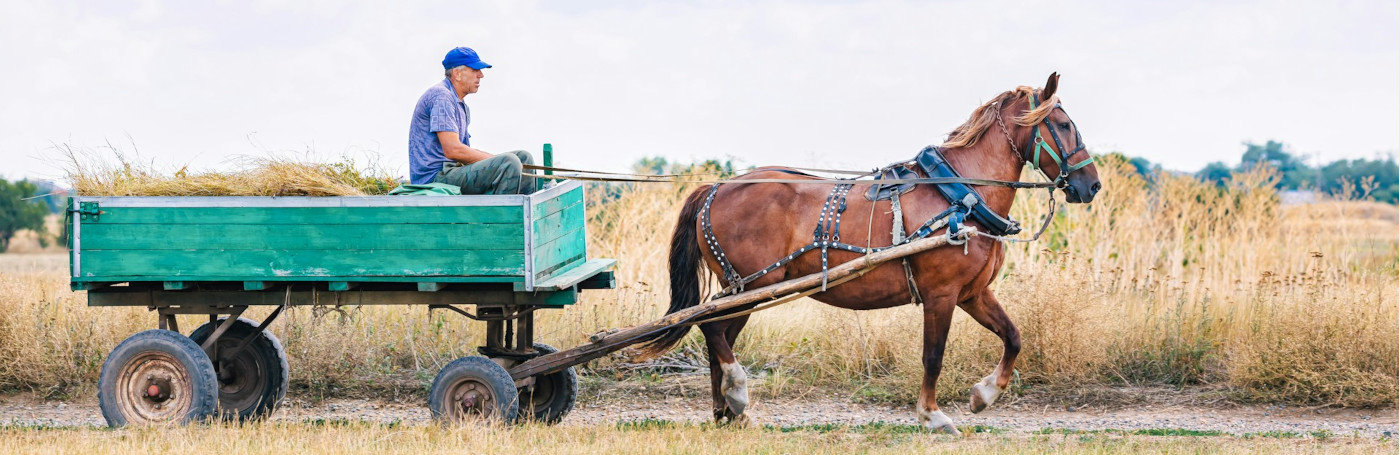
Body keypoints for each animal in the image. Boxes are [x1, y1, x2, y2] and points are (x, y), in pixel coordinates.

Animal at [635, 72, 1103, 434]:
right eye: (1062, 125)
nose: (1092, 185)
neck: (961, 193)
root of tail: (715, 187)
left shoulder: (972, 293)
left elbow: (1013, 337)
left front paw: (982, 396)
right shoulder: (941, 295)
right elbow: (933, 355)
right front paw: (932, 416)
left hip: (746, 288)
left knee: (718, 336)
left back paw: (728, 411)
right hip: (752, 284)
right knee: (712, 329)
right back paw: (736, 391)